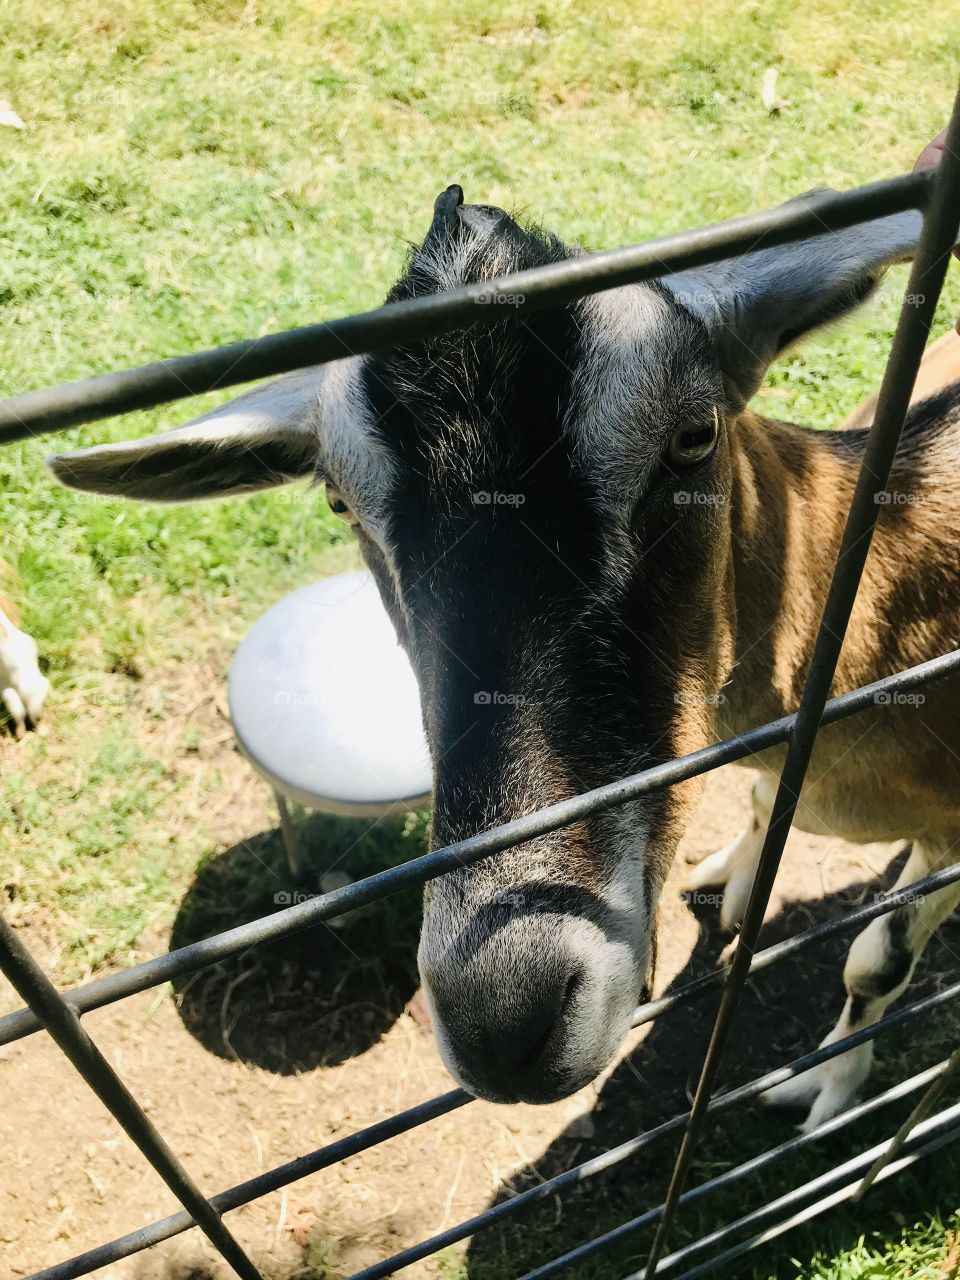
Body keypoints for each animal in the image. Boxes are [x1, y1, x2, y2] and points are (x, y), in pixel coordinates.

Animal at [47, 186, 960, 1131]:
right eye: (338, 499)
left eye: (694, 436)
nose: (505, 1021)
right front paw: (744, 875)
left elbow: (876, 960)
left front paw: (832, 1088)